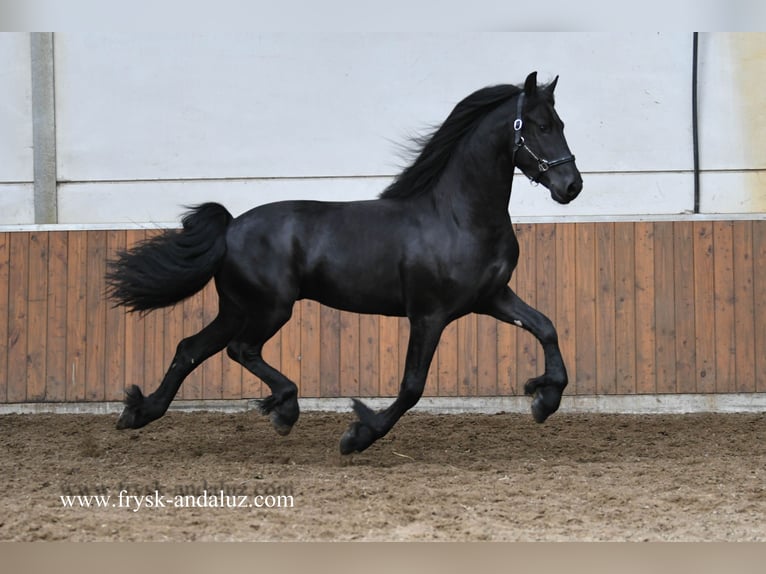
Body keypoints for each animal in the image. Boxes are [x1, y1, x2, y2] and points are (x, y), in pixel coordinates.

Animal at [106, 71, 582, 454]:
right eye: (541, 126)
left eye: (561, 124)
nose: (571, 186)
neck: (457, 216)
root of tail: (230, 228)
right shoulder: (429, 315)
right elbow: (412, 386)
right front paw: (358, 435)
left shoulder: (492, 297)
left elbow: (546, 327)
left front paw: (544, 399)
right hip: (270, 307)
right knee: (240, 349)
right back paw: (285, 408)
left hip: (237, 307)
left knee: (190, 348)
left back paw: (140, 412)